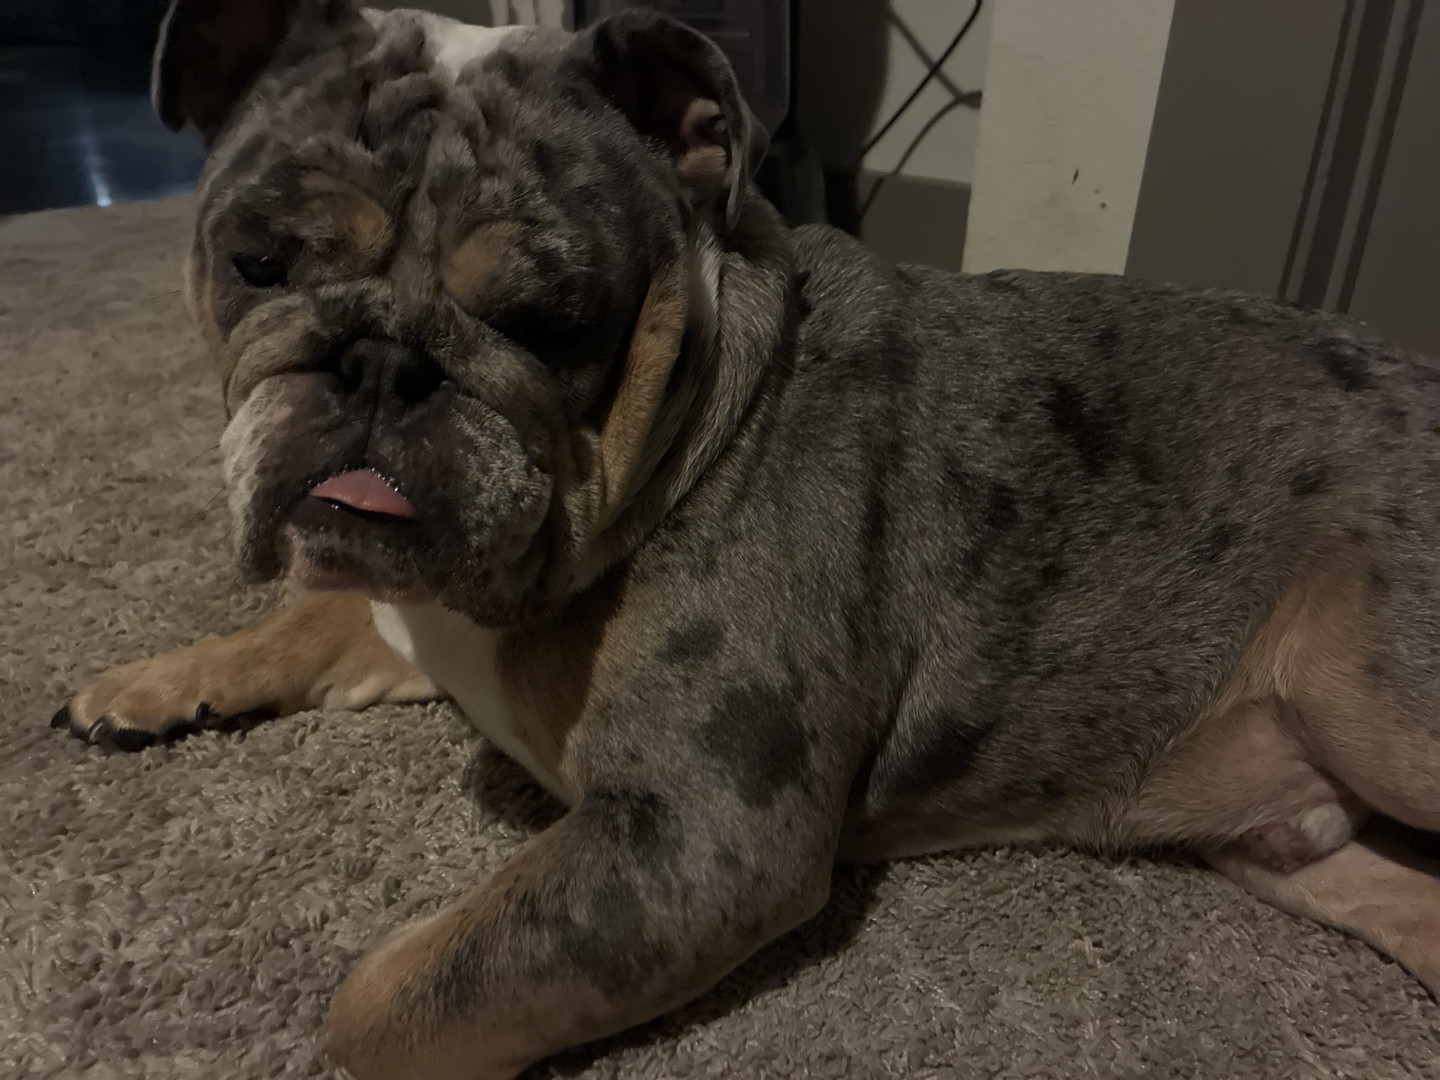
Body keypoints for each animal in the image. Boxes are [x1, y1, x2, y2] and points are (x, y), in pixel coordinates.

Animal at [52, 1, 1440, 1076]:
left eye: (554, 322)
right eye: (254, 260)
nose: (381, 363)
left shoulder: (695, 844)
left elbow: (389, 1002)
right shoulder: (412, 602)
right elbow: (313, 613)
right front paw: (153, 681)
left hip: (1374, 701)